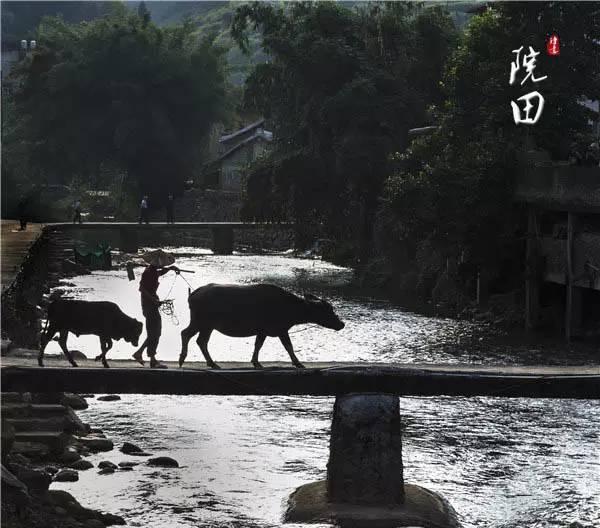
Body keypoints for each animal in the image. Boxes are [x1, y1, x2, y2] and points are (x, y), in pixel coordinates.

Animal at [178, 284, 344, 368]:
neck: (290, 307)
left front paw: (255, 362)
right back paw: (202, 362)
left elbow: (258, 345)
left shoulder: (264, 331)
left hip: (204, 324)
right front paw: (298, 363)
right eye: (328, 310)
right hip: (204, 323)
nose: (341, 324)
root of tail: (193, 294)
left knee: (193, 337)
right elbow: (288, 346)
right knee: (194, 337)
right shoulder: (280, 329)